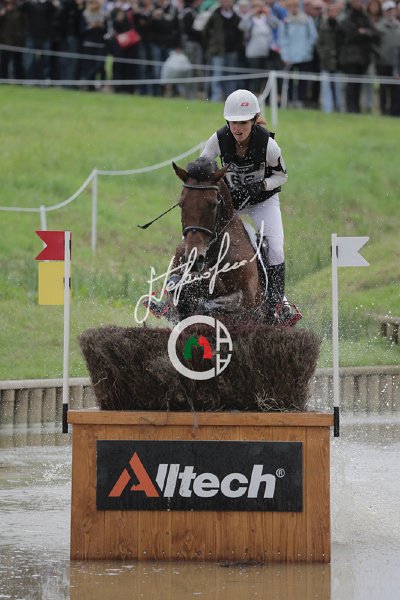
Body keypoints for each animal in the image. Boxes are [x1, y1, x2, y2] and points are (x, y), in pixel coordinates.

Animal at [165, 157, 268, 325]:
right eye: (181, 204)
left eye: (213, 204)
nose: (194, 259)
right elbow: (174, 285)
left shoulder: (246, 302)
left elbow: (212, 304)